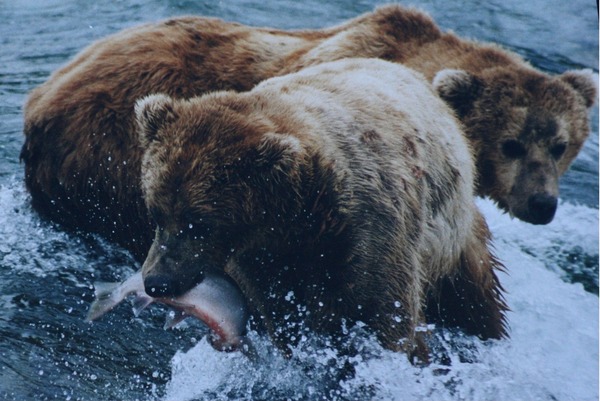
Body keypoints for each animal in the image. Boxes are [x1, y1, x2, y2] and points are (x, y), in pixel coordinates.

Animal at [132, 58, 506, 356]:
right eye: (155, 212)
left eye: (200, 223)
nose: (157, 281)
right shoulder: (266, 260)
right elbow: (282, 314)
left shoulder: (368, 230)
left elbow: (384, 314)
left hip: (454, 238)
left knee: (477, 299)